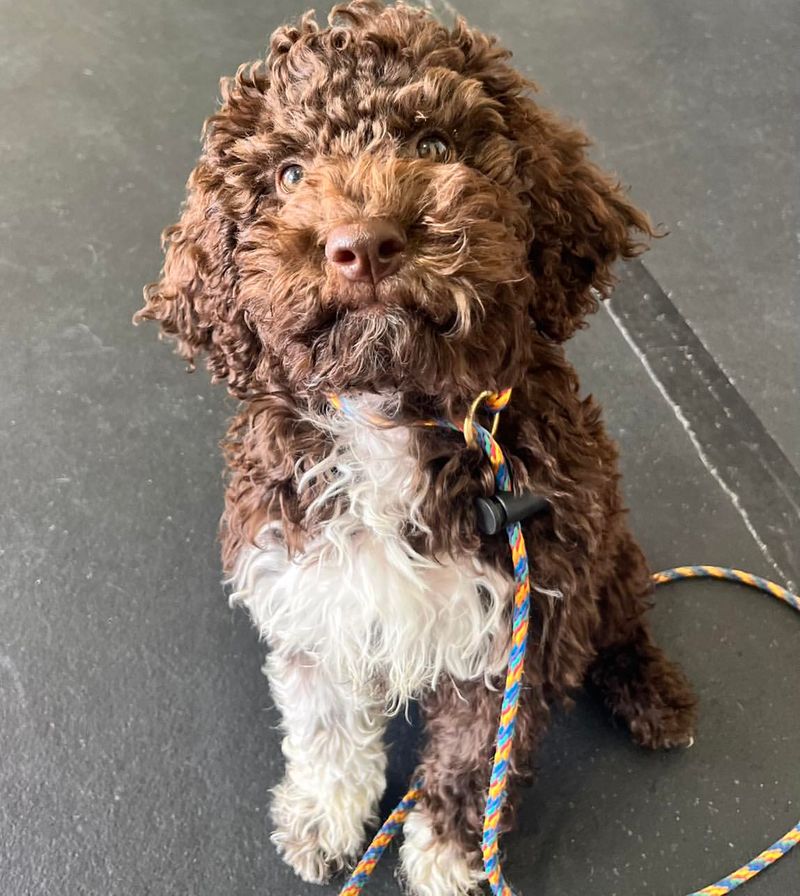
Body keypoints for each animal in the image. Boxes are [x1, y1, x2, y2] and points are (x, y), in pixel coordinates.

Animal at [136, 3, 692, 892]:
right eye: (289, 173)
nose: (362, 243)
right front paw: (324, 816)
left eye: (433, 144)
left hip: (606, 548)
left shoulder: (522, 615)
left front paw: (447, 856)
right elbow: (326, 724)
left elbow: (475, 758)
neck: (392, 414)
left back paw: (654, 695)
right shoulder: (309, 588)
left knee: (626, 619)